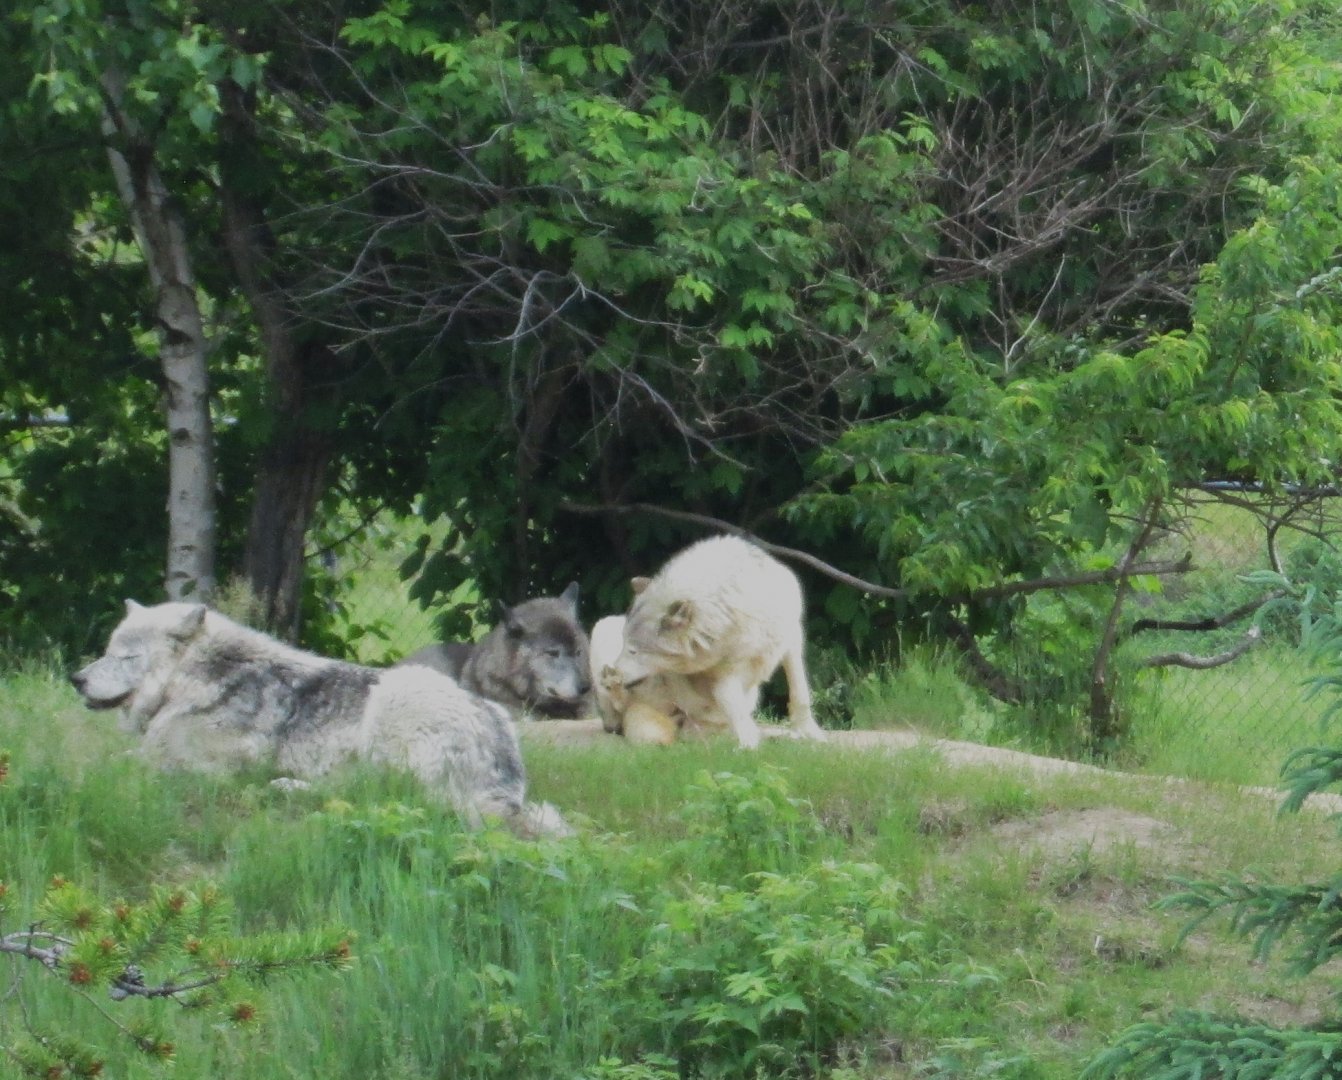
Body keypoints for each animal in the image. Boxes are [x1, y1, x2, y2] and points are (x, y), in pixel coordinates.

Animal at [71, 600, 569, 837]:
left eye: (126, 656)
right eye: (107, 650)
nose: (77, 679)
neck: (203, 679)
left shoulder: (191, 762)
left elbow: (114, 763)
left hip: (395, 699)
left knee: (376, 795)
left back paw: (285, 787)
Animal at [609, 535, 826, 750]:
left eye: (633, 651)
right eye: (623, 644)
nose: (614, 674)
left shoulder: (792, 641)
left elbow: (800, 693)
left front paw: (811, 733)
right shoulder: (725, 674)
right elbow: (734, 707)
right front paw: (748, 747)